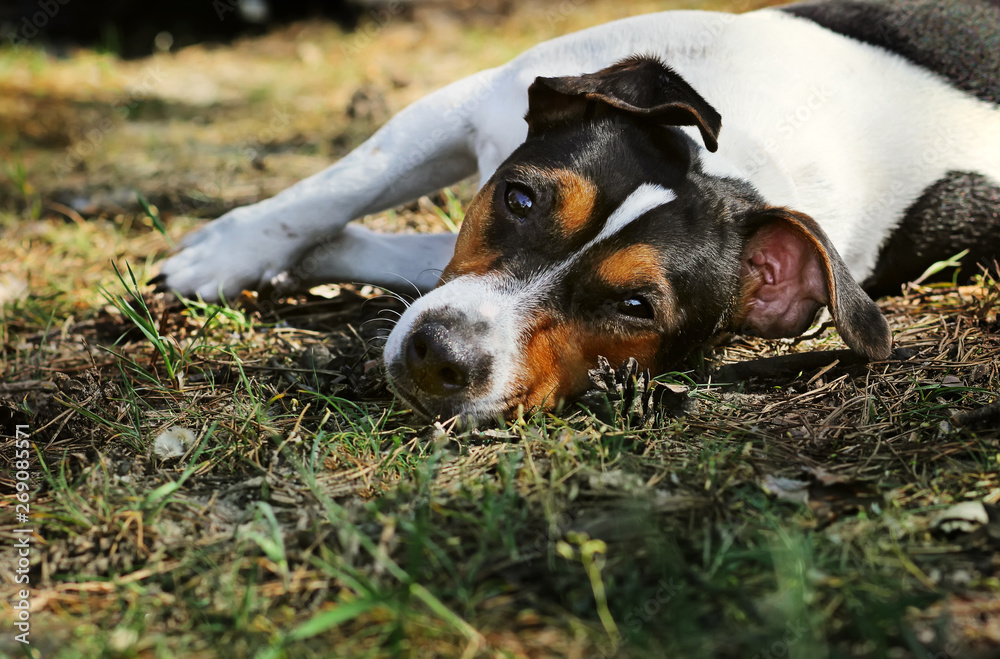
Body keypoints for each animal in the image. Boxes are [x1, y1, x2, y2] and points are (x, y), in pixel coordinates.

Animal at [155, 0, 1000, 422]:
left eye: (635, 307)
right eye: (519, 197)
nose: (439, 354)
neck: (742, 148)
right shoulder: (461, 106)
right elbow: (337, 187)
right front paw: (226, 253)